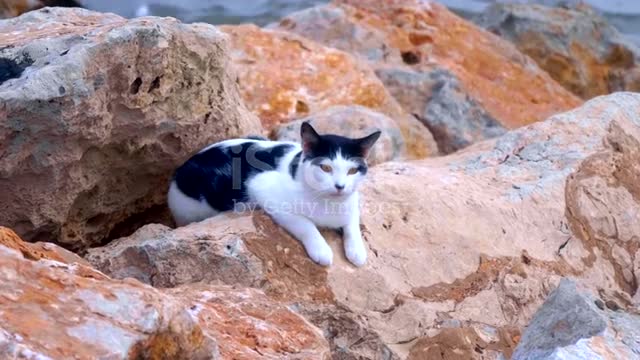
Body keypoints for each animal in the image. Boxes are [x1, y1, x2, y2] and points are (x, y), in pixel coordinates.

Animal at [168, 122, 382, 266]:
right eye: (325, 167)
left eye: (352, 171)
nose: (340, 186)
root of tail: (178, 172)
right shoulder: (262, 189)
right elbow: (305, 224)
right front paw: (321, 250)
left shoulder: (352, 201)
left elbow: (352, 223)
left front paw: (357, 250)